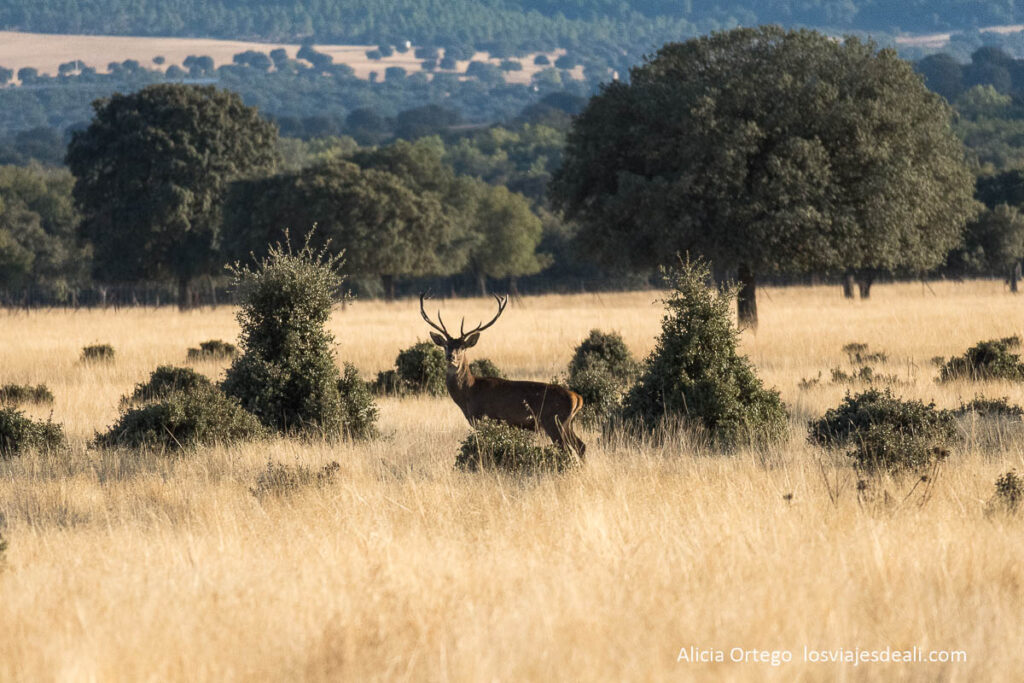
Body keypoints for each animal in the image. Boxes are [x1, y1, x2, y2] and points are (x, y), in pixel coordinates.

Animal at [420, 292, 586, 458]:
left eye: (462, 347)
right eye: (445, 346)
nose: (451, 356)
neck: (469, 393)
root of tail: (577, 398)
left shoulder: (484, 418)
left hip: (554, 421)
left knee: (568, 449)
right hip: (567, 423)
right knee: (581, 446)